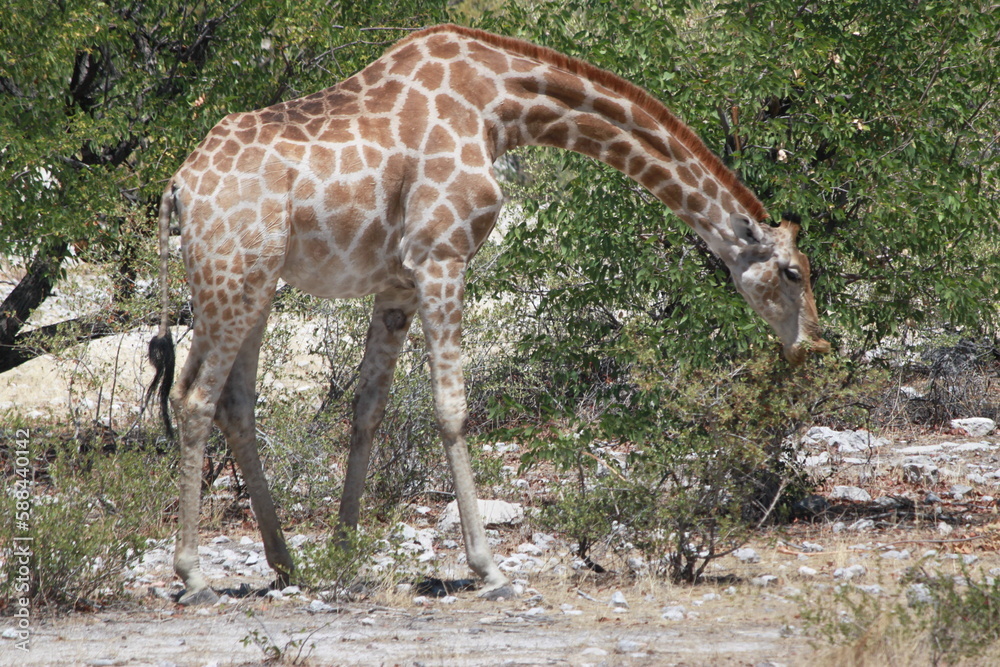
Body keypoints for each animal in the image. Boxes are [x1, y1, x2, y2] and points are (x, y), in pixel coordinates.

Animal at [148, 24, 830, 604]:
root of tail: (178, 186)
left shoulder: (398, 281)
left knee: (234, 403)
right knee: (195, 399)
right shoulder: (442, 255)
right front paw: (490, 569)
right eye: (794, 272)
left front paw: (343, 553)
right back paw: (195, 578)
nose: (814, 345)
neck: (499, 105)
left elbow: (368, 410)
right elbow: (451, 408)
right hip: (233, 276)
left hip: (253, 285)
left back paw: (286, 564)